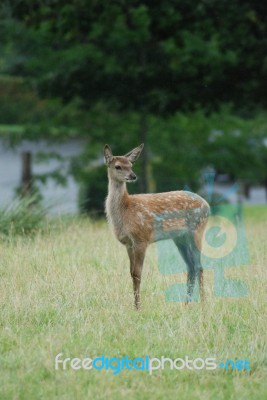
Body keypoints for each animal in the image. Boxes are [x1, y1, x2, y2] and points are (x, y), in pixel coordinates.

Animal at [104, 144, 211, 310]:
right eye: (118, 166)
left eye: (131, 165)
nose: (133, 176)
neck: (125, 211)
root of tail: (207, 205)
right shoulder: (128, 243)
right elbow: (131, 273)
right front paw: (135, 305)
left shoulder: (141, 238)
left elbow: (137, 273)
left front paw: (138, 307)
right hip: (180, 238)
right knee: (191, 266)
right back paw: (186, 304)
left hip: (197, 229)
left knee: (199, 266)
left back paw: (203, 304)